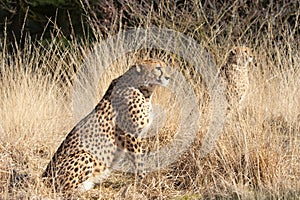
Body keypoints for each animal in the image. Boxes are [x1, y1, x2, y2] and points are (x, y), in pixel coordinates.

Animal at [42, 58, 170, 192]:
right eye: (158, 68)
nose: (168, 77)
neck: (142, 89)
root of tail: (44, 177)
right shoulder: (131, 135)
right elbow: (139, 160)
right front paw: (144, 179)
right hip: (85, 155)